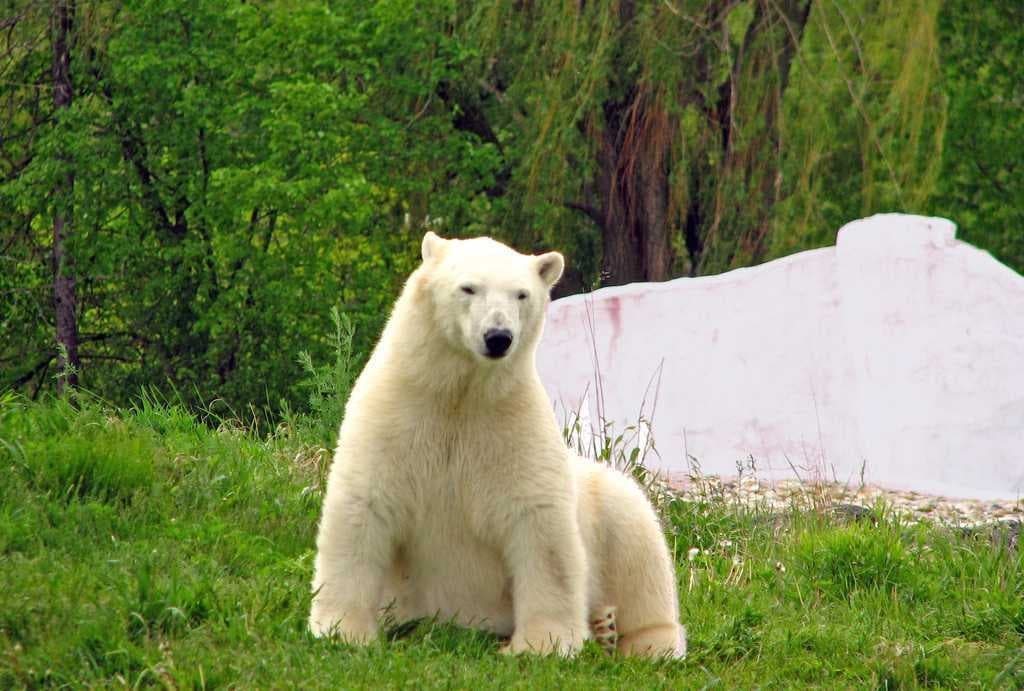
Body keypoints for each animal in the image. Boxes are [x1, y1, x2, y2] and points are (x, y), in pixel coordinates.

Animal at [309, 231, 685, 657]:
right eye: (468, 288)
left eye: (521, 294)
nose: (498, 337)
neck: (461, 393)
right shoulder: (396, 414)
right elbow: (364, 506)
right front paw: (343, 630)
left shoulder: (511, 423)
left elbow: (539, 525)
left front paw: (541, 644)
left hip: (605, 499)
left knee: (636, 539)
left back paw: (631, 637)